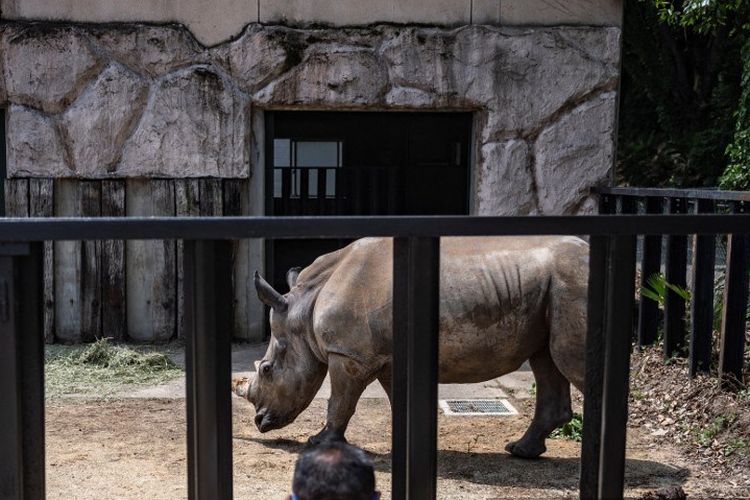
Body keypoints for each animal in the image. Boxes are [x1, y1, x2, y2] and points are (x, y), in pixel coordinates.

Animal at [232, 235, 592, 458]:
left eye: (267, 369)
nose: (260, 422)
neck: (304, 309)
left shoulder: (347, 354)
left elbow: (339, 402)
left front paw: (318, 442)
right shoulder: (385, 356)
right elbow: (396, 399)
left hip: (573, 284)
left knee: (568, 360)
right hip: (550, 295)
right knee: (546, 359)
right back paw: (520, 450)